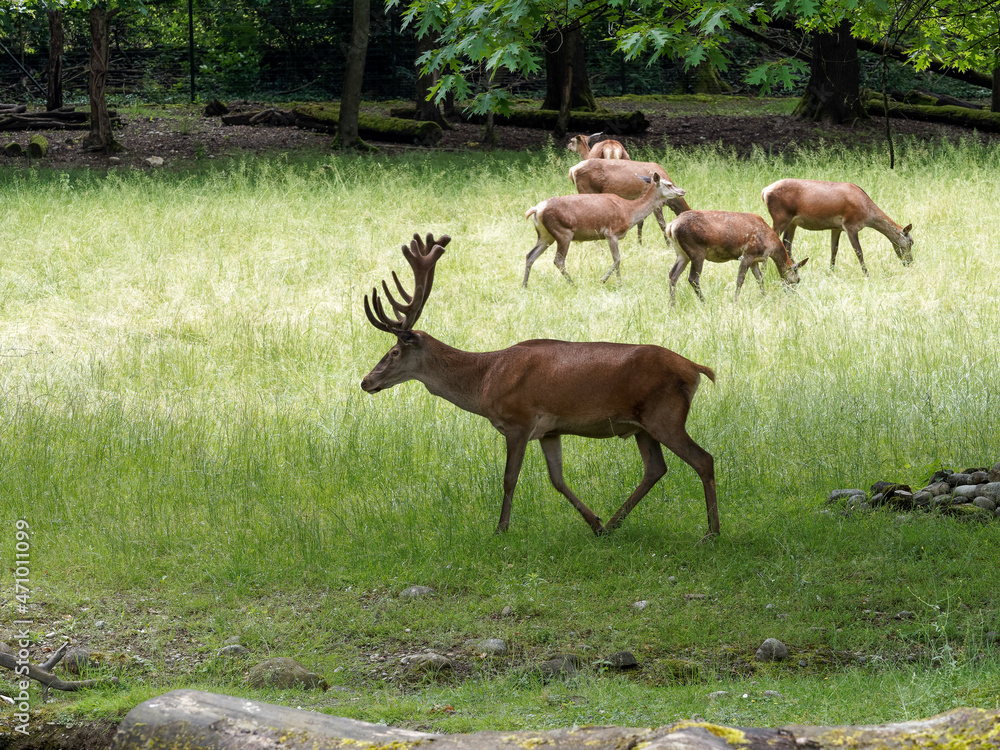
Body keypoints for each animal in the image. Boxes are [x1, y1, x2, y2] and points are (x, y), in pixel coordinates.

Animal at [362, 232, 719, 539]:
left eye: (393, 352)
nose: (366, 381)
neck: (484, 380)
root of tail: (696, 369)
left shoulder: (518, 421)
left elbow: (509, 478)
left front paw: (501, 528)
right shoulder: (551, 430)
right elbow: (557, 479)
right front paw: (594, 522)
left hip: (665, 414)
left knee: (703, 459)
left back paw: (712, 532)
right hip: (642, 425)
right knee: (655, 469)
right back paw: (614, 523)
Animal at [524, 172, 686, 287]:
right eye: (669, 184)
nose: (683, 191)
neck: (630, 212)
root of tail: (536, 209)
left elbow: (617, 259)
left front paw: (614, 282)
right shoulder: (611, 233)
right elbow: (618, 259)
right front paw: (608, 281)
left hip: (545, 235)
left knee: (530, 255)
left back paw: (524, 285)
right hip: (563, 232)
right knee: (558, 260)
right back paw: (573, 284)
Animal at [666, 210, 809, 303]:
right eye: (797, 280)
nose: (793, 295)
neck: (770, 245)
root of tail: (671, 226)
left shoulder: (755, 260)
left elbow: (760, 278)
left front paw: (764, 297)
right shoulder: (748, 253)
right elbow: (740, 279)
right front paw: (735, 301)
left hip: (682, 253)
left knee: (673, 274)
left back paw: (672, 304)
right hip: (697, 250)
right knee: (693, 278)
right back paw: (704, 302)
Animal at [761, 179, 913, 275]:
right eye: (911, 242)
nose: (910, 261)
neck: (866, 212)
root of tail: (764, 192)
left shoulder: (836, 227)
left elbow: (834, 249)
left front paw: (831, 271)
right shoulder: (850, 224)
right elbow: (859, 251)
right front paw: (866, 273)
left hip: (792, 222)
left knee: (787, 244)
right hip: (781, 217)